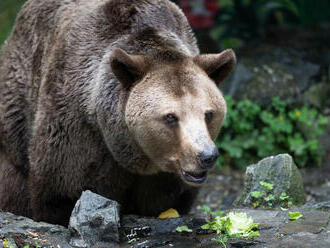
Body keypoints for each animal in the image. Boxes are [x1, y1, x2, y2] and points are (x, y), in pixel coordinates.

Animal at [0, 0, 237, 226]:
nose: (206, 156)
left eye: (209, 114)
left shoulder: (166, 175)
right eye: (171, 117)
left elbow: (167, 201)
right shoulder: (76, 125)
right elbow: (62, 191)